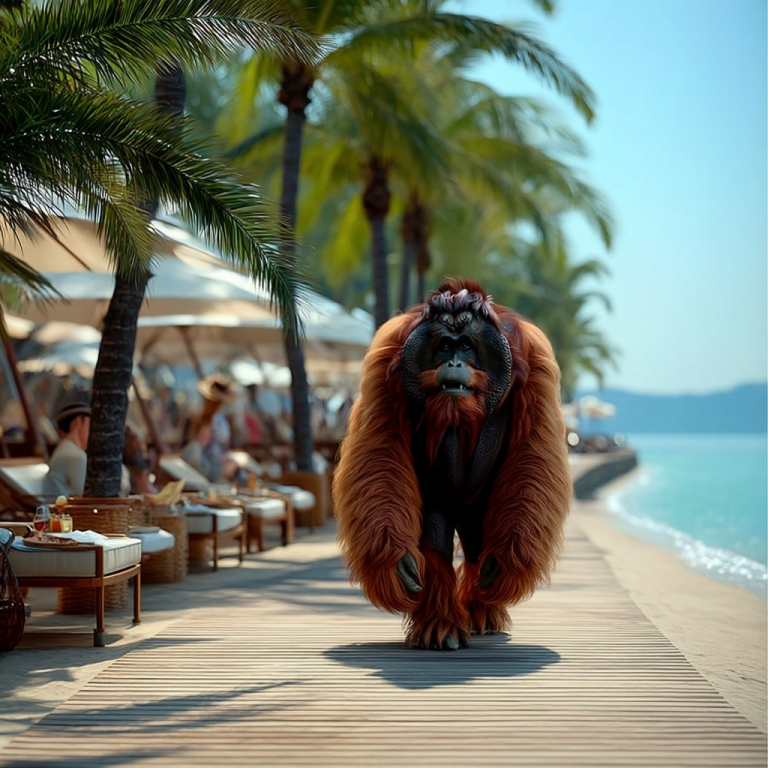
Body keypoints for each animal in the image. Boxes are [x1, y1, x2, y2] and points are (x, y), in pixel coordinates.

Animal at [333, 277, 572, 650]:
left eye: (467, 346)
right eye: (445, 345)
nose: (455, 363)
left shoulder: (536, 363)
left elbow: (532, 455)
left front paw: (503, 564)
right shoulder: (386, 360)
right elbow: (381, 450)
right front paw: (397, 562)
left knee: (476, 545)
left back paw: (482, 611)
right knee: (438, 540)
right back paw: (441, 628)